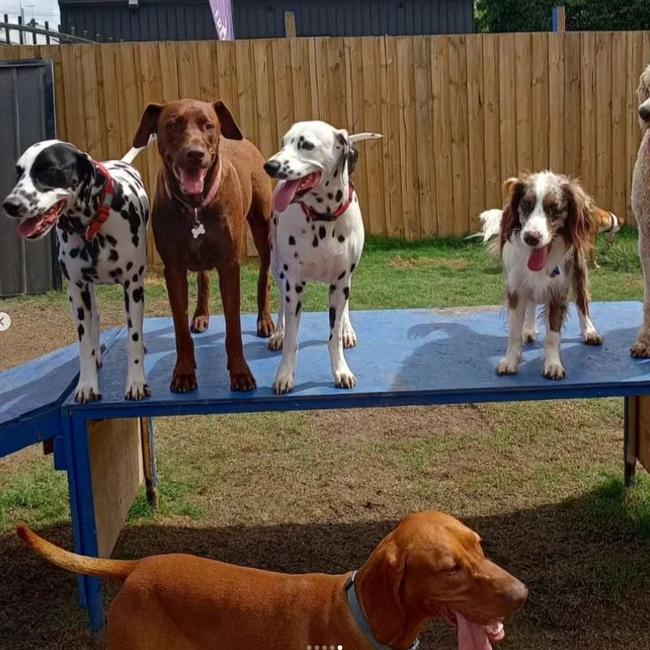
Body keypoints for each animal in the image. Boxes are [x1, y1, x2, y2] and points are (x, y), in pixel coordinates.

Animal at [2, 139, 152, 400]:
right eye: (19, 171)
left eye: (49, 170)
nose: (10, 205)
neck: (93, 228)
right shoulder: (77, 290)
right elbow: (84, 345)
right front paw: (87, 385)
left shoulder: (133, 285)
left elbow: (133, 337)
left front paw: (135, 382)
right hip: (85, 290)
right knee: (95, 320)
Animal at [262, 121, 380, 394]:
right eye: (283, 142)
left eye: (305, 144)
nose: (270, 166)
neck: (322, 219)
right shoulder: (293, 285)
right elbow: (292, 339)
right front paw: (284, 374)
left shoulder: (340, 283)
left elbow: (333, 336)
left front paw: (341, 370)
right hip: (276, 267)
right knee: (281, 307)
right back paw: (279, 333)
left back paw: (347, 331)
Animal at [478, 172, 600, 378]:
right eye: (525, 205)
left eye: (555, 209)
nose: (531, 238)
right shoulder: (516, 289)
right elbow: (514, 331)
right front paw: (510, 361)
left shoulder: (558, 291)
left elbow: (552, 335)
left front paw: (553, 364)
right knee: (532, 303)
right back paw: (528, 329)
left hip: (578, 271)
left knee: (581, 302)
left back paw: (589, 330)